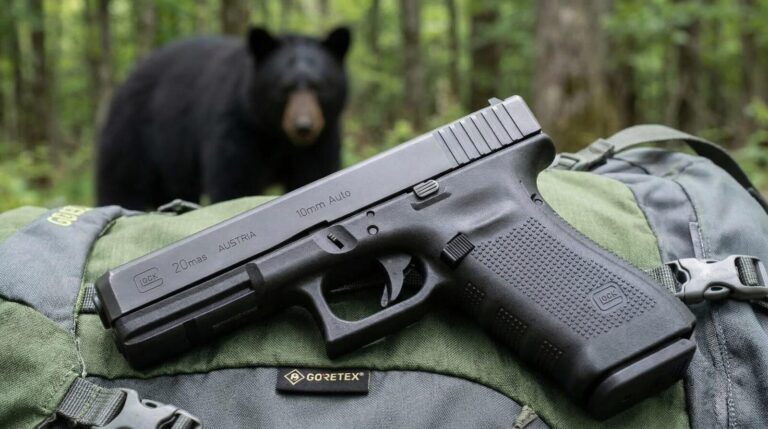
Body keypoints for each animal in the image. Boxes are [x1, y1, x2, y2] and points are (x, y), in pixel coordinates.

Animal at [96, 26, 351, 210]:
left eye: (319, 86)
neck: (274, 133)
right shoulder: (237, 126)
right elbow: (235, 182)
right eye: (284, 88)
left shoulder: (322, 139)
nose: (304, 127)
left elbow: (313, 173)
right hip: (133, 138)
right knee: (122, 185)